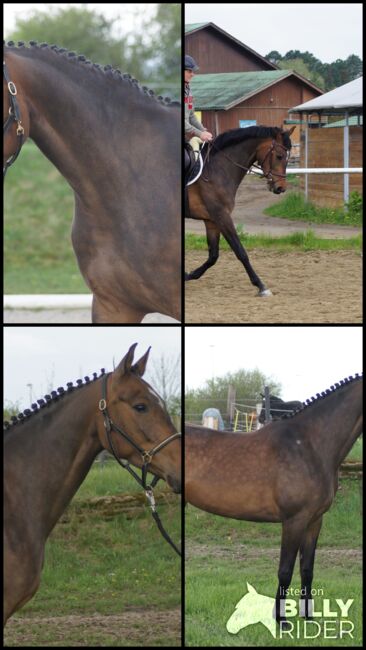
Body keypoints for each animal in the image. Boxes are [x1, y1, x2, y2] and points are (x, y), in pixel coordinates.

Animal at [186, 124, 294, 296]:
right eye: (279, 156)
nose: (281, 188)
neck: (217, 169)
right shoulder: (222, 217)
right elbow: (240, 251)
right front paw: (261, 285)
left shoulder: (212, 221)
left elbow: (213, 255)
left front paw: (188, 275)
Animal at [186, 374, 364, 628]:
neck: (309, 444)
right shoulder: (294, 520)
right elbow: (285, 570)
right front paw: (281, 620)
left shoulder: (315, 520)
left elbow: (307, 569)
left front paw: (308, 618)